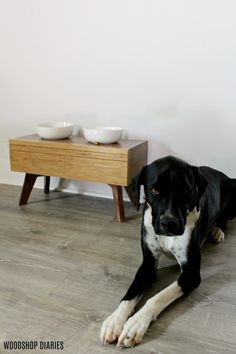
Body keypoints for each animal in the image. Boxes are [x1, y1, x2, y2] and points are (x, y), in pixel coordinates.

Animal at [100, 156, 236, 348]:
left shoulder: (191, 273)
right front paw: (115, 320)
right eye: (154, 190)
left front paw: (135, 324)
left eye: (186, 190)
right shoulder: (148, 264)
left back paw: (218, 231)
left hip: (234, 192)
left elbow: (157, 297)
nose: (169, 223)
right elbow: (131, 292)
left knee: (223, 219)